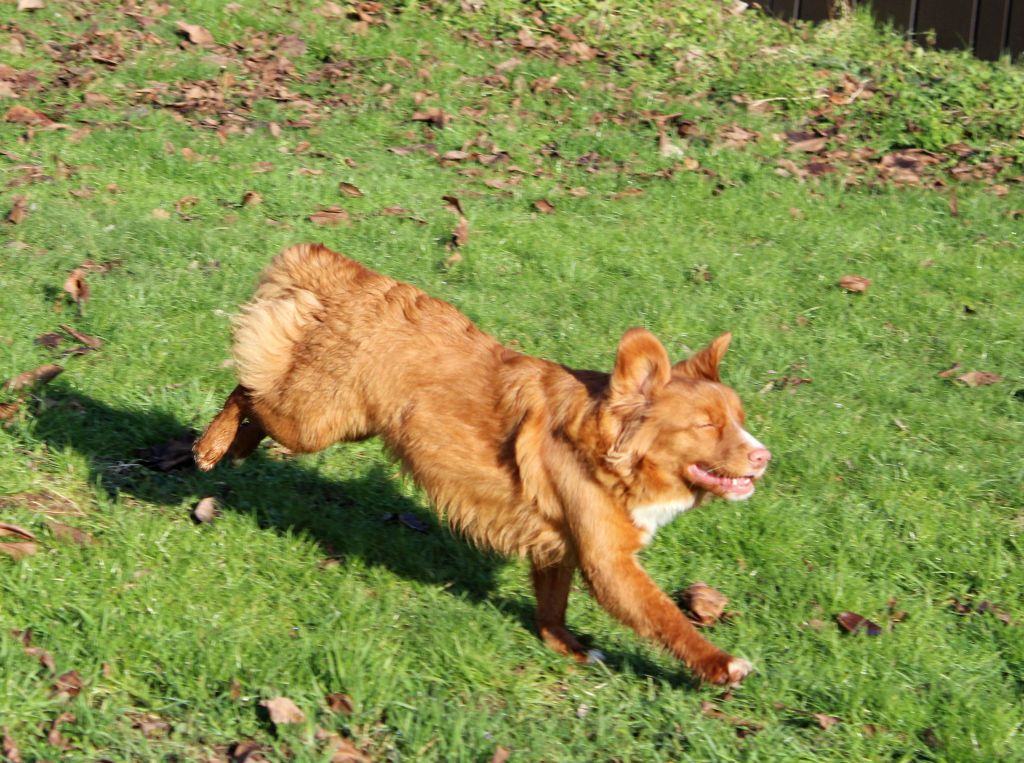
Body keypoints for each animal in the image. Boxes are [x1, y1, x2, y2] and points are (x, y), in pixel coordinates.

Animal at [193, 242, 770, 684]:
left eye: (738, 418)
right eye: (706, 426)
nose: (764, 456)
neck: (604, 448)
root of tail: (357, 276)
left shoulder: (558, 546)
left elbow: (552, 609)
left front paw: (568, 646)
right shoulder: (610, 565)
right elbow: (668, 619)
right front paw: (720, 665)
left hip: (337, 420)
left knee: (259, 393)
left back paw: (237, 450)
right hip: (314, 423)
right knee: (249, 389)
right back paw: (211, 446)